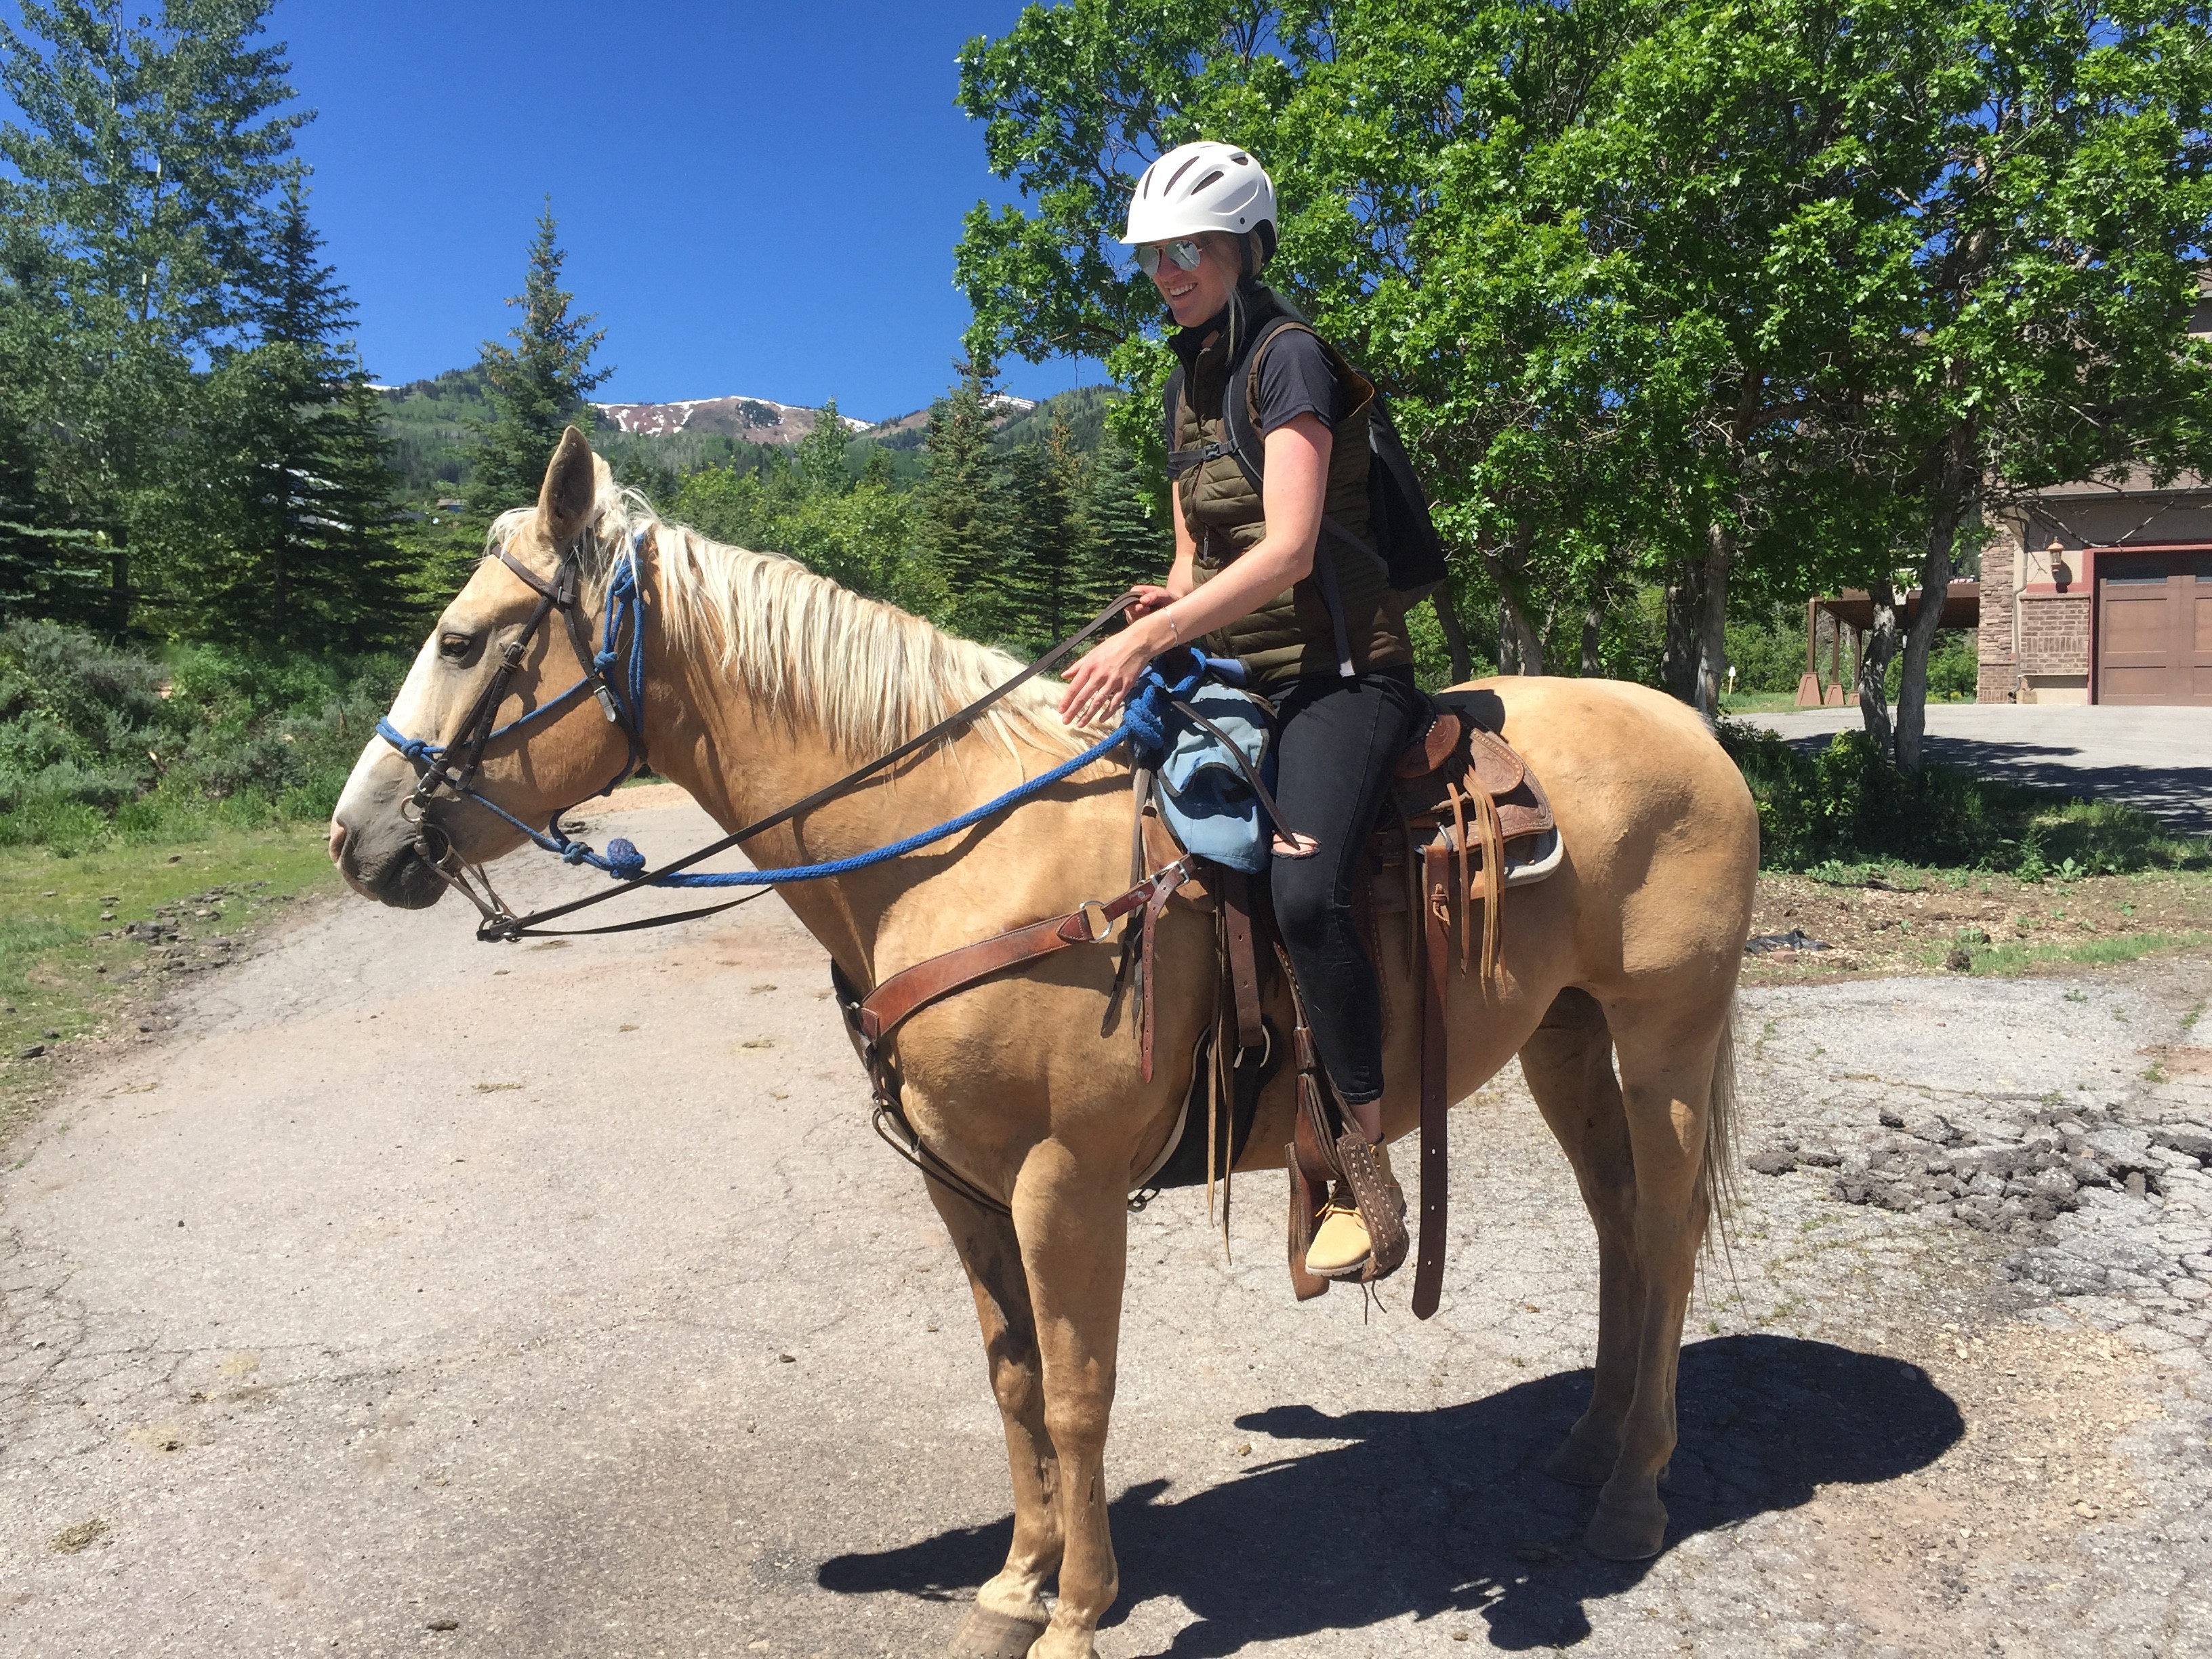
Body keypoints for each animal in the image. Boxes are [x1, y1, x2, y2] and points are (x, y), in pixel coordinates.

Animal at [327, 431, 1752, 1659]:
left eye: (461, 639)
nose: (357, 836)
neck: (955, 845)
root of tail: (1694, 731)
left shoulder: (1064, 1178)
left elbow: (1078, 1385)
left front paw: (1077, 1609)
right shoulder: (959, 1181)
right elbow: (1013, 1378)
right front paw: (1014, 1582)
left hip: (1662, 1034)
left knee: (1665, 1227)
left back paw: (1631, 1496)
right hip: (1563, 1034)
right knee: (1619, 1227)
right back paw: (1587, 1445)